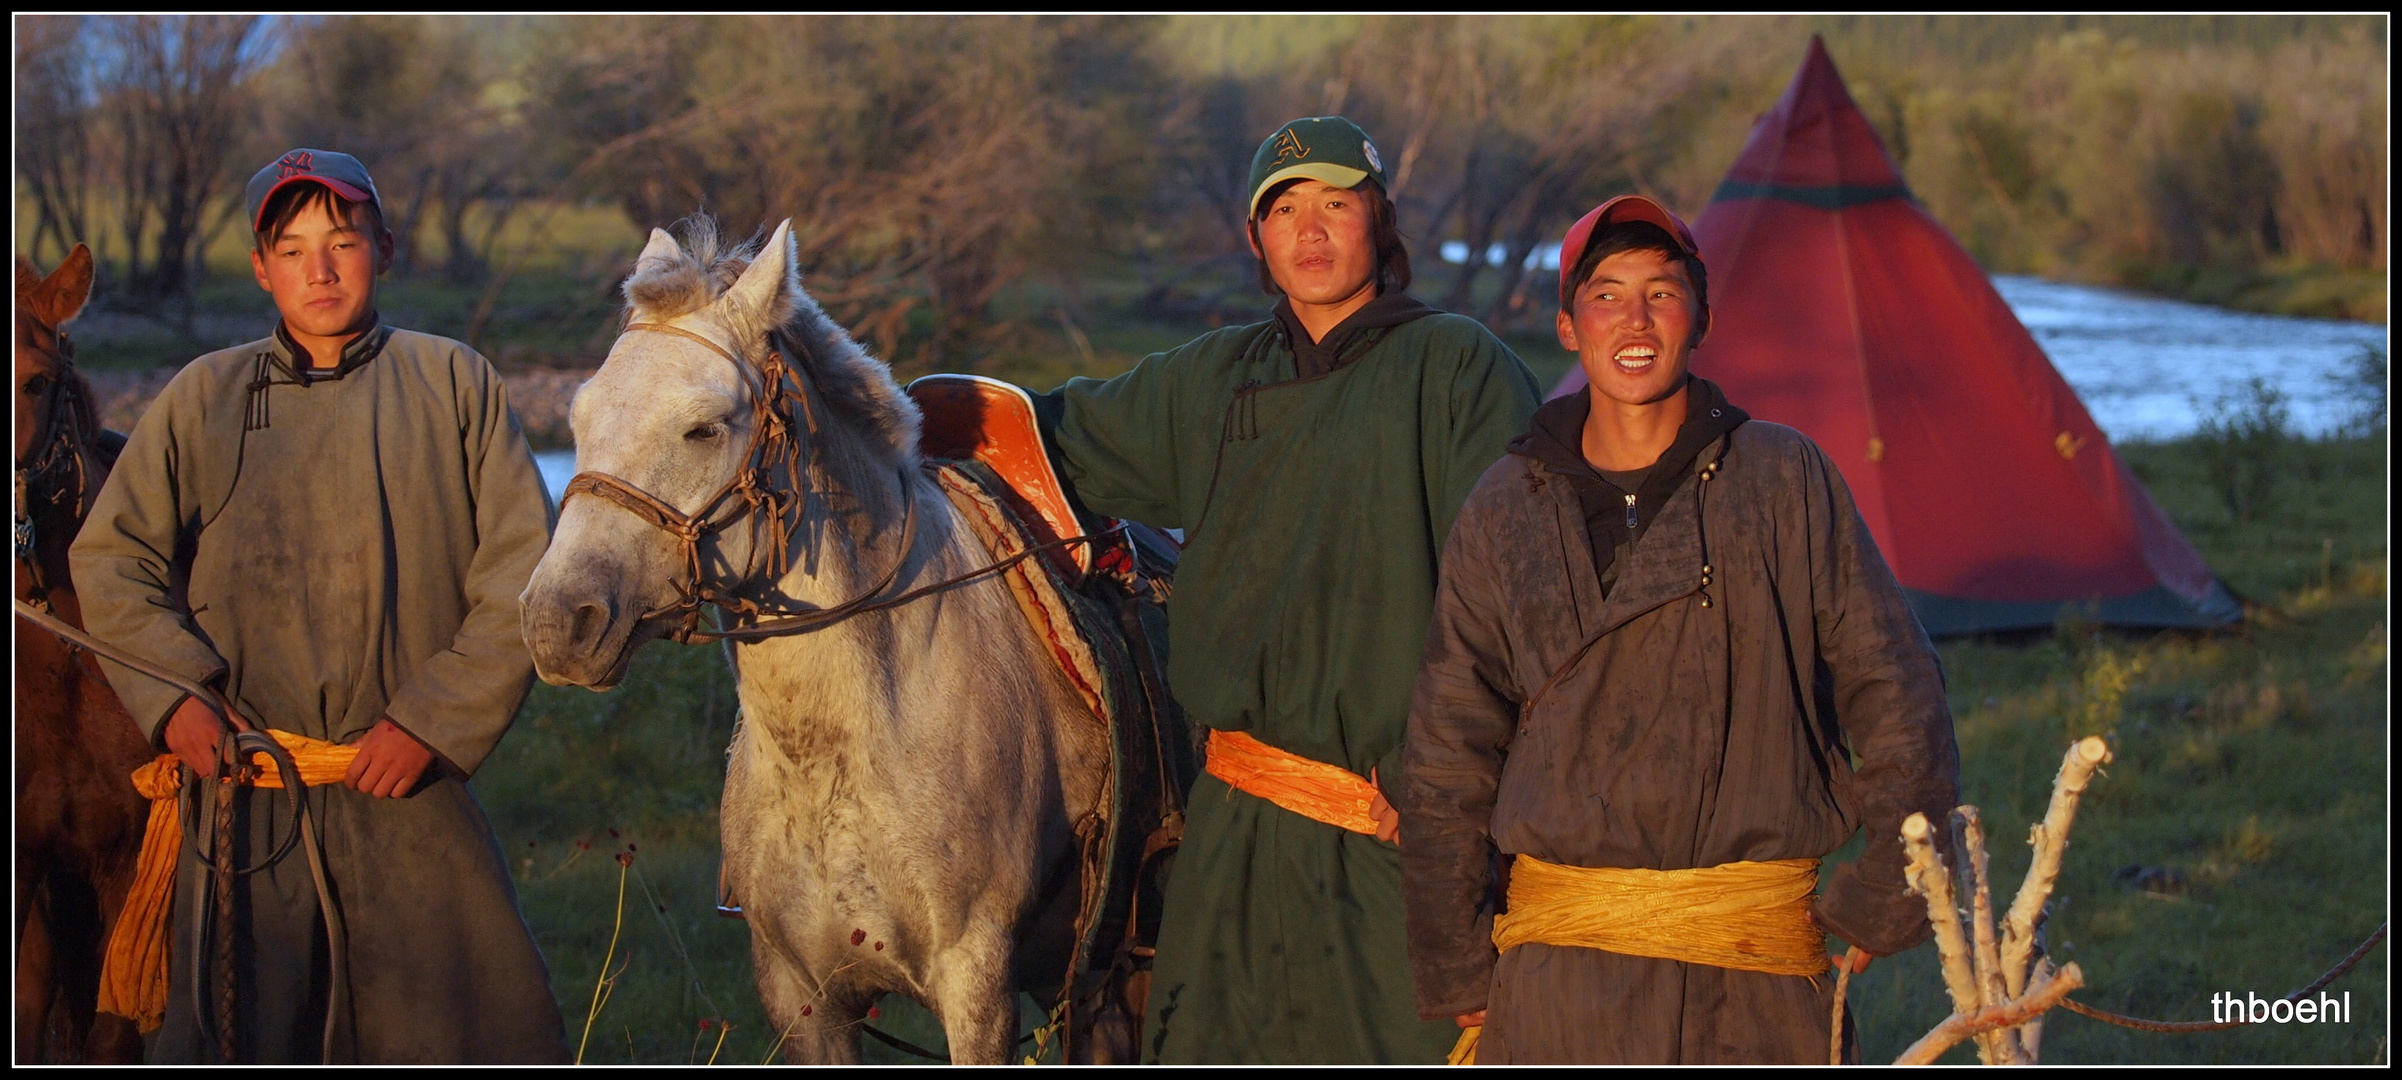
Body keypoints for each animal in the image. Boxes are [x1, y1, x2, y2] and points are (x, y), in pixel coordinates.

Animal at [521, 219, 1119, 1060]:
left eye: (704, 427)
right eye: (577, 423)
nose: (557, 622)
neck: (838, 744)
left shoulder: (978, 990)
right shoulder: (802, 1000)